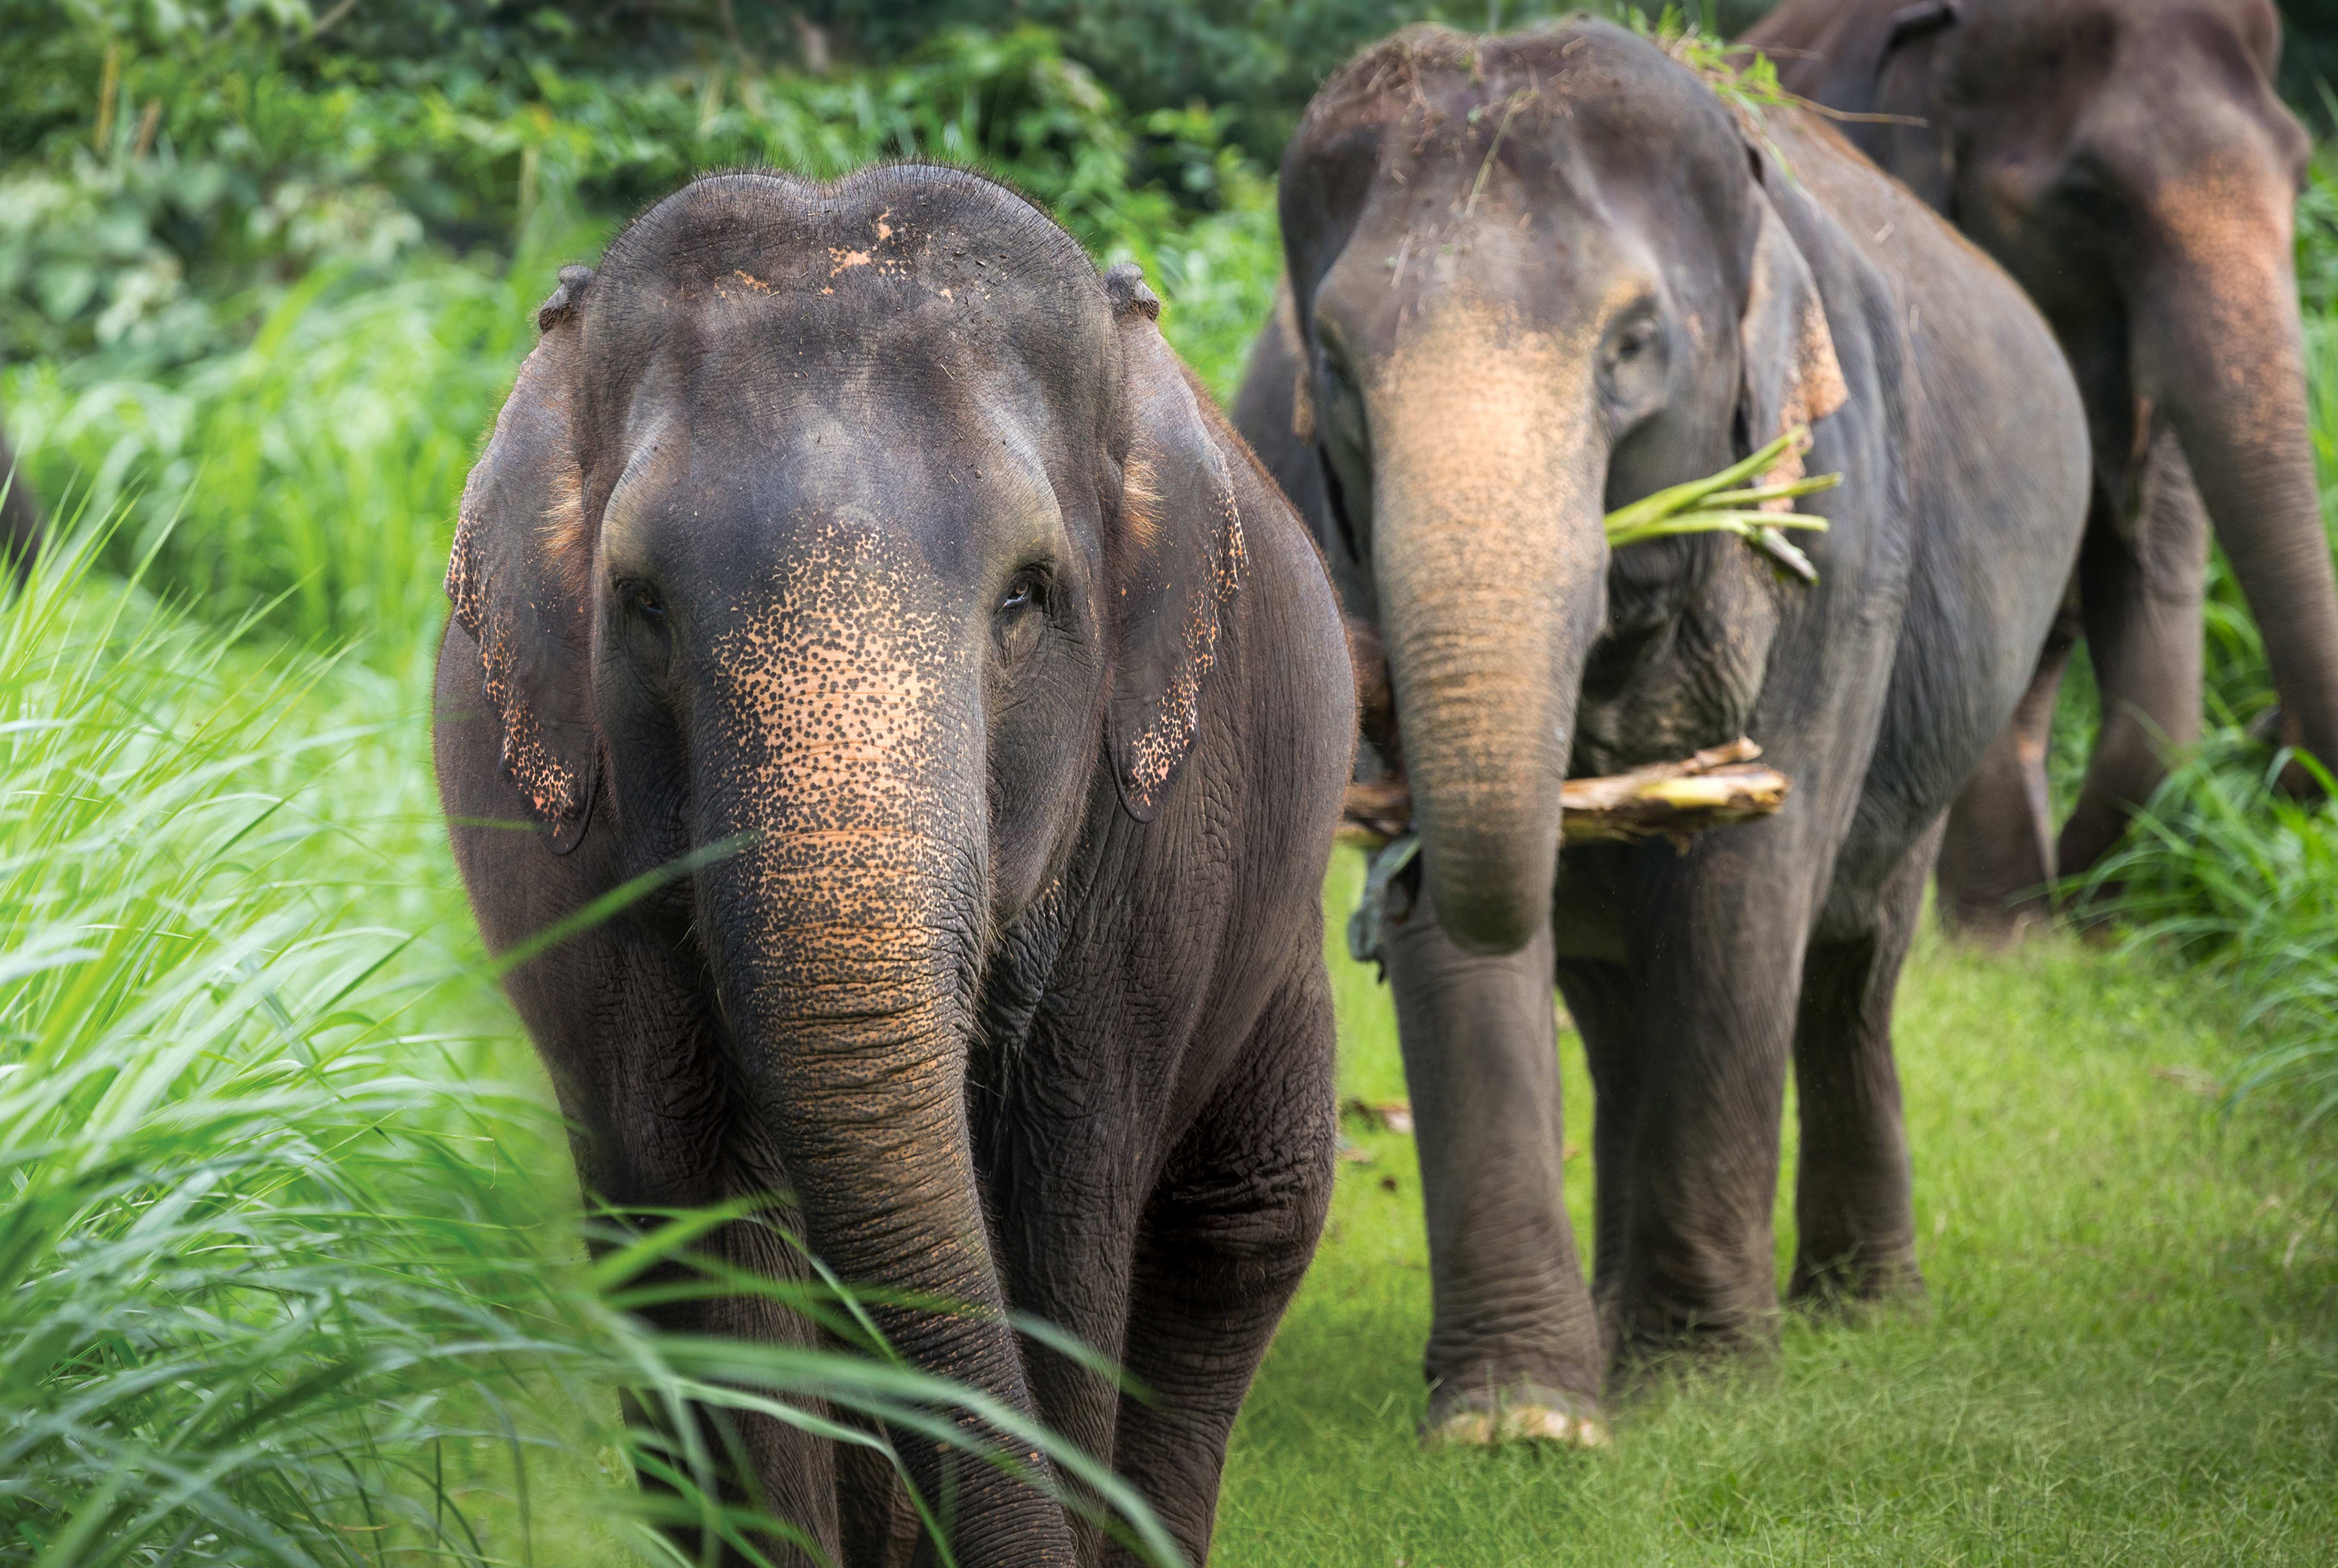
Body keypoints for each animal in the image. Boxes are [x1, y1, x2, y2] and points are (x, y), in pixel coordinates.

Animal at [432, 165, 1354, 1566]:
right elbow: (709, 1237)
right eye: (641, 603)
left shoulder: (1158, 854)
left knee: (1243, 1221)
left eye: (1025, 595)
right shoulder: (565, 863)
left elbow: (1058, 1236)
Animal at [1232, 20, 2088, 1439]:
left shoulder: (1835, 527)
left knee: (1850, 966)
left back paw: (1859, 1310)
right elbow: (1471, 933)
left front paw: (1702, 1386)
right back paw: (1617, 1320)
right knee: (1621, 1010)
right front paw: (1523, 1419)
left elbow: (1744, 897)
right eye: (1339, 368)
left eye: (1632, 345)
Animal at [1743, 0, 2337, 929]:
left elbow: (2154, 574)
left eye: (2301, 175)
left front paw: (2077, 922)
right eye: (2089, 199)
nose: (2272, 730)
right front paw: (2001, 929)